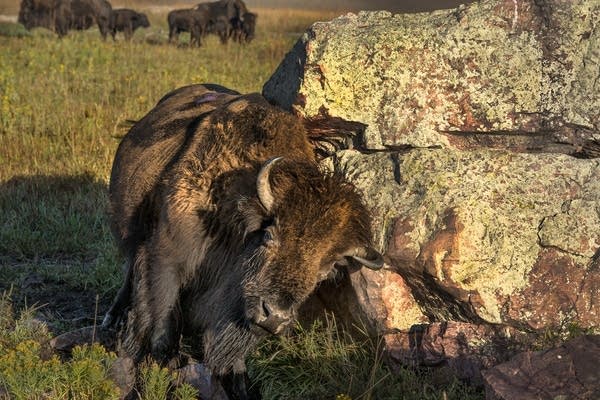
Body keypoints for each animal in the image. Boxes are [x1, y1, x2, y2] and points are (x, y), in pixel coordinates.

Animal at [103, 84, 382, 400]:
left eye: (327, 268)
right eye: (269, 236)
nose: (275, 317)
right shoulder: (166, 257)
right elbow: (161, 318)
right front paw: (161, 361)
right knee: (130, 274)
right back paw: (112, 320)